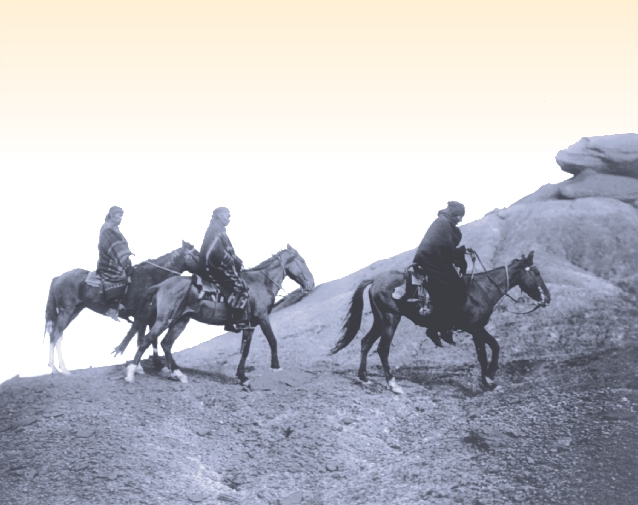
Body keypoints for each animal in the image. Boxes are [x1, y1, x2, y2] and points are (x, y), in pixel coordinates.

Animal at [44, 240, 199, 374]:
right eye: (197, 254)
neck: (152, 276)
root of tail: (57, 278)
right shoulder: (143, 316)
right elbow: (142, 339)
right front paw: (140, 367)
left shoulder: (150, 318)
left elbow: (149, 339)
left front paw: (156, 365)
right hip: (66, 311)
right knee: (55, 334)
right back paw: (59, 369)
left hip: (74, 311)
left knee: (57, 336)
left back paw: (57, 367)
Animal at [121, 246, 316, 384]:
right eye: (302, 260)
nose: (311, 284)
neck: (260, 283)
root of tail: (160, 285)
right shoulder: (262, 318)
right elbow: (272, 340)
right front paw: (275, 367)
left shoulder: (250, 324)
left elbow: (246, 349)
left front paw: (242, 376)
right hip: (164, 320)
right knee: (146, 341)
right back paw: (131, 373)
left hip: (181, 320)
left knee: (165, 344)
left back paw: (178, 374)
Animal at [330, 250, 552, 392]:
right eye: (537, 273)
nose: (548, 298)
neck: (482, 290)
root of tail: (375, 280)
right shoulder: (475, 329)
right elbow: (486, 352)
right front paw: (488, 380)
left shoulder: (478, 328)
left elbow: (491, 348)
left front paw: (489, 379)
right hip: (390, 319)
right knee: (382, 349)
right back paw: (393, 384)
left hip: (380, 320)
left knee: (365, 342)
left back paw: (364, 378)